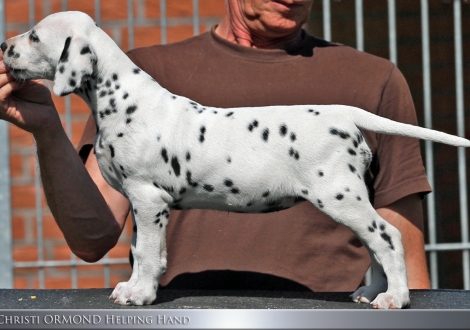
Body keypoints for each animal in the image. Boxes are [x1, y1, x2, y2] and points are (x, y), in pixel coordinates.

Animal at [1, 10, 468, 310]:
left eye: (35, 36)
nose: (4, 45)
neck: (121, 98)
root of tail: (344, 114)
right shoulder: (145, 205)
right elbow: (144, 251)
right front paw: (134, 287)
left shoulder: (148, 199)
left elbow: (148, 253)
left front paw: (139, 294)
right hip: (352, 198)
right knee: (375, 244)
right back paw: (372, 293)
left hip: (340, 196)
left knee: (388, 237)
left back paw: (395, 298)